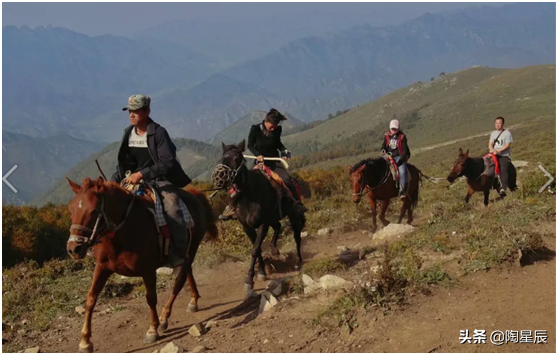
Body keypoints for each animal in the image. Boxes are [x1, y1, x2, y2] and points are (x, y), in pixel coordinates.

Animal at [66, 178, 219, 354]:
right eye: (71, 210)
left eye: (94, 210)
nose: (74, 249)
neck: (122, 235)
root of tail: (194, 196)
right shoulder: (102, 268)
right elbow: (91, 299)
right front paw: (85, 341)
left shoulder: (148, 270)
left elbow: (151, 298)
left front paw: (152, 330)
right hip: (185, 253)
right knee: (188, 273)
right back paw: (193, 300)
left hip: (192, 247)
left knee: (179, 281)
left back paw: (165, 316)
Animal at [219, 140, 306, 292]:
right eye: (223, 158)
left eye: (236, 158)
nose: (224, 178)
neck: (249, 197)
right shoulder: (247, 227)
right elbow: (257, 248)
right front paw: (261, 272)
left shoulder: (262, 225)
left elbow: (255, 249)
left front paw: (249, 280)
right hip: (273, 218)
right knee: (278, 226)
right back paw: (274, 250)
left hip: (292, 214)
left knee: (296, 236)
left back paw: (297, 262)